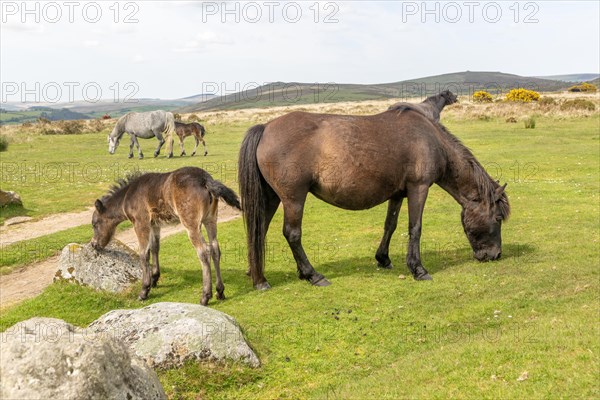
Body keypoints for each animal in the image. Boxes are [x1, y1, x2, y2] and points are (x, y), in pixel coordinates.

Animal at [90, 166, 240, 304]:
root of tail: (205, 179)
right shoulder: (154, 224)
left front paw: (144, 290)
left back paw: (205, 296)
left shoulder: (141, 223)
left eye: (94, 224)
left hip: (191, 224)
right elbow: (155, 248)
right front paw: (154, 279)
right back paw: (220, 291)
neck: (128, 196)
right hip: (210, 219)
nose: (93, 244)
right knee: (215, 249)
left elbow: (144, 253)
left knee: (204, 251)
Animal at [237, 104, 508, 290]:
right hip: (293, 198)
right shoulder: (418, 188)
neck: (431, 139)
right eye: (497, 218)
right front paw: (418, 269)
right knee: (292, 234)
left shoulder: (398, 193)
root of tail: (265, 127)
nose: (495, 255)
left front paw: (383, 258)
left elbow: (391, 225)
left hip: (272, 198)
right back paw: (312, 274)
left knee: (259, 230)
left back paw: (259, 276)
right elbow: (415, 228)